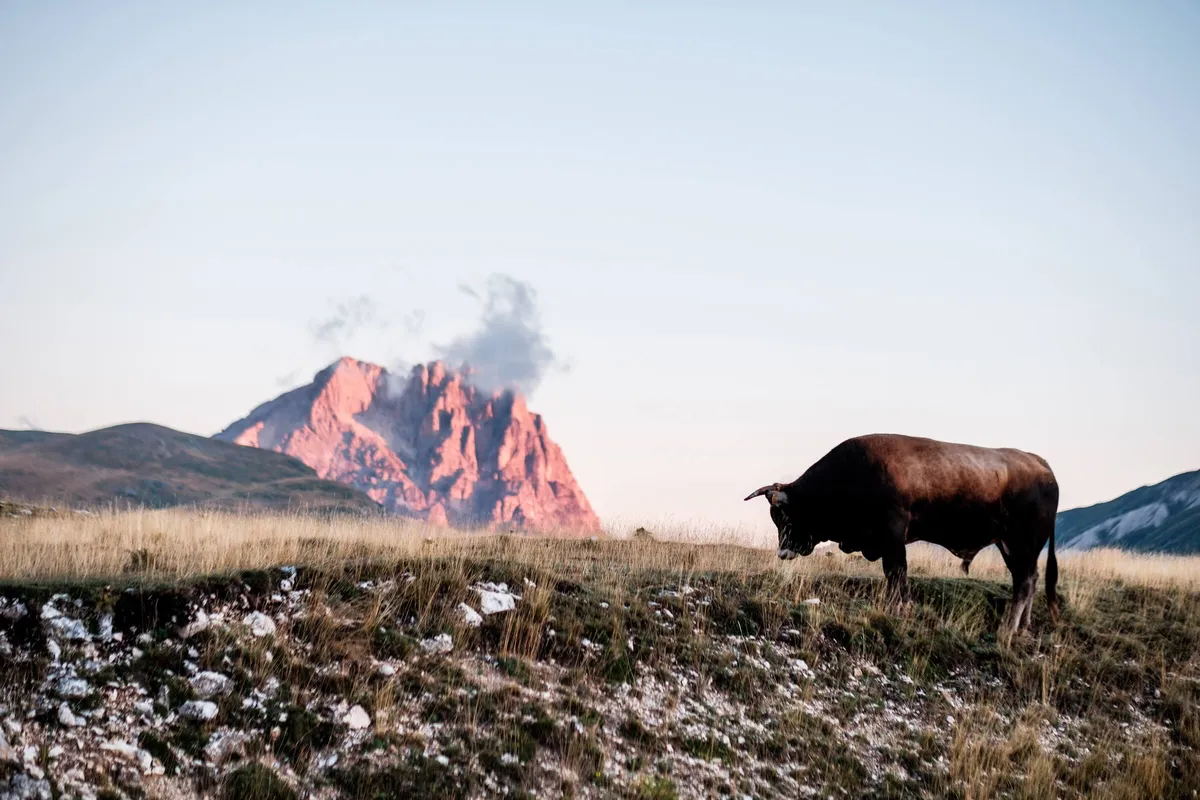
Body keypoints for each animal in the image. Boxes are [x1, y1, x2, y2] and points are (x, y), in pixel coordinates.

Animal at [744, 433, 1059, 639]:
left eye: (784, 515)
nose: (783, 553)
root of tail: (1039, 463)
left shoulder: (893, 535)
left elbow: (897, 573)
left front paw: (899, 608)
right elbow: (892, 576)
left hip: (1023, 543)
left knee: (1025, 583)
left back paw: (1008, 628)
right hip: (1013, 546)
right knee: (1028, 580)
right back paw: (1023, 626)